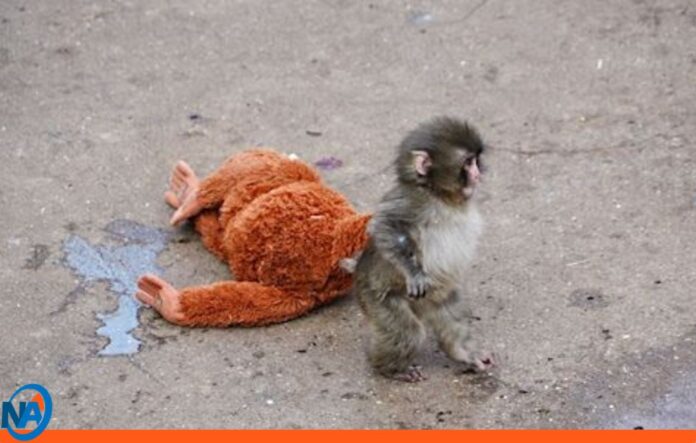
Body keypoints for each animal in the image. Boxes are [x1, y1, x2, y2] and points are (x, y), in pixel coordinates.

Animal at [354, 116, 494, 382]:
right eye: (467, 162)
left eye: (476, 160)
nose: (477, 174)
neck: (441, 196)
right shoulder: (412, 202)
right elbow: (385, 226)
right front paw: (414, 273)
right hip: (375, 296)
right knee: (406, 331)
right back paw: (387, 368)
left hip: (437, 298)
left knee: (450, 314)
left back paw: (462, 352)